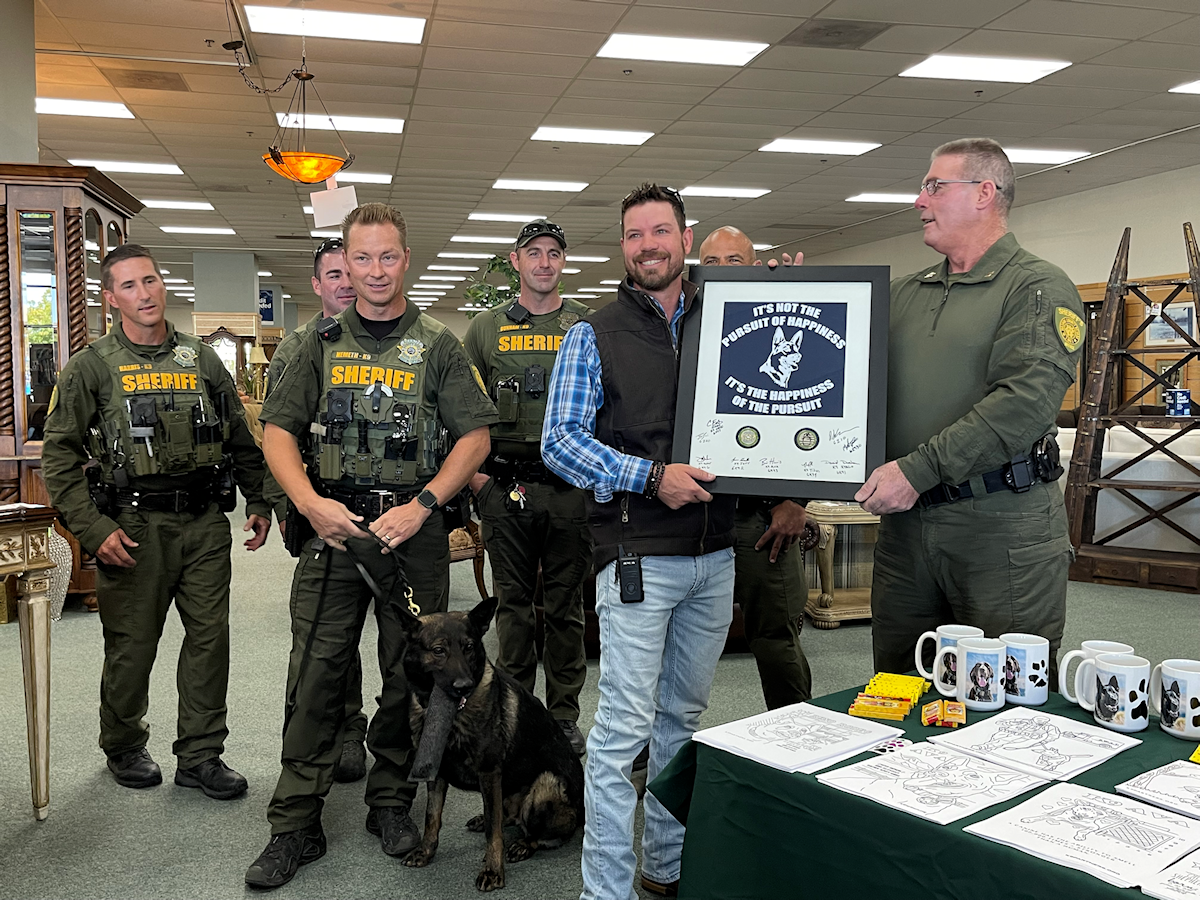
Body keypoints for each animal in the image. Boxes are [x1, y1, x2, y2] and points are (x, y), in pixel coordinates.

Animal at [400, 600, 583, 897]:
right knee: (506, 815)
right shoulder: (436, 774)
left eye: (469, 647)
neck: (449, 713)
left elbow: (493, 832)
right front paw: (426, 851)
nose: (464, 686)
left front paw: (493, 871)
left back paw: (524, 844)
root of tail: (583, 812)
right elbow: (432, 817)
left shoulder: (489, 773)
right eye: (439, 650)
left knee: (541, 833)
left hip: (546, 786)